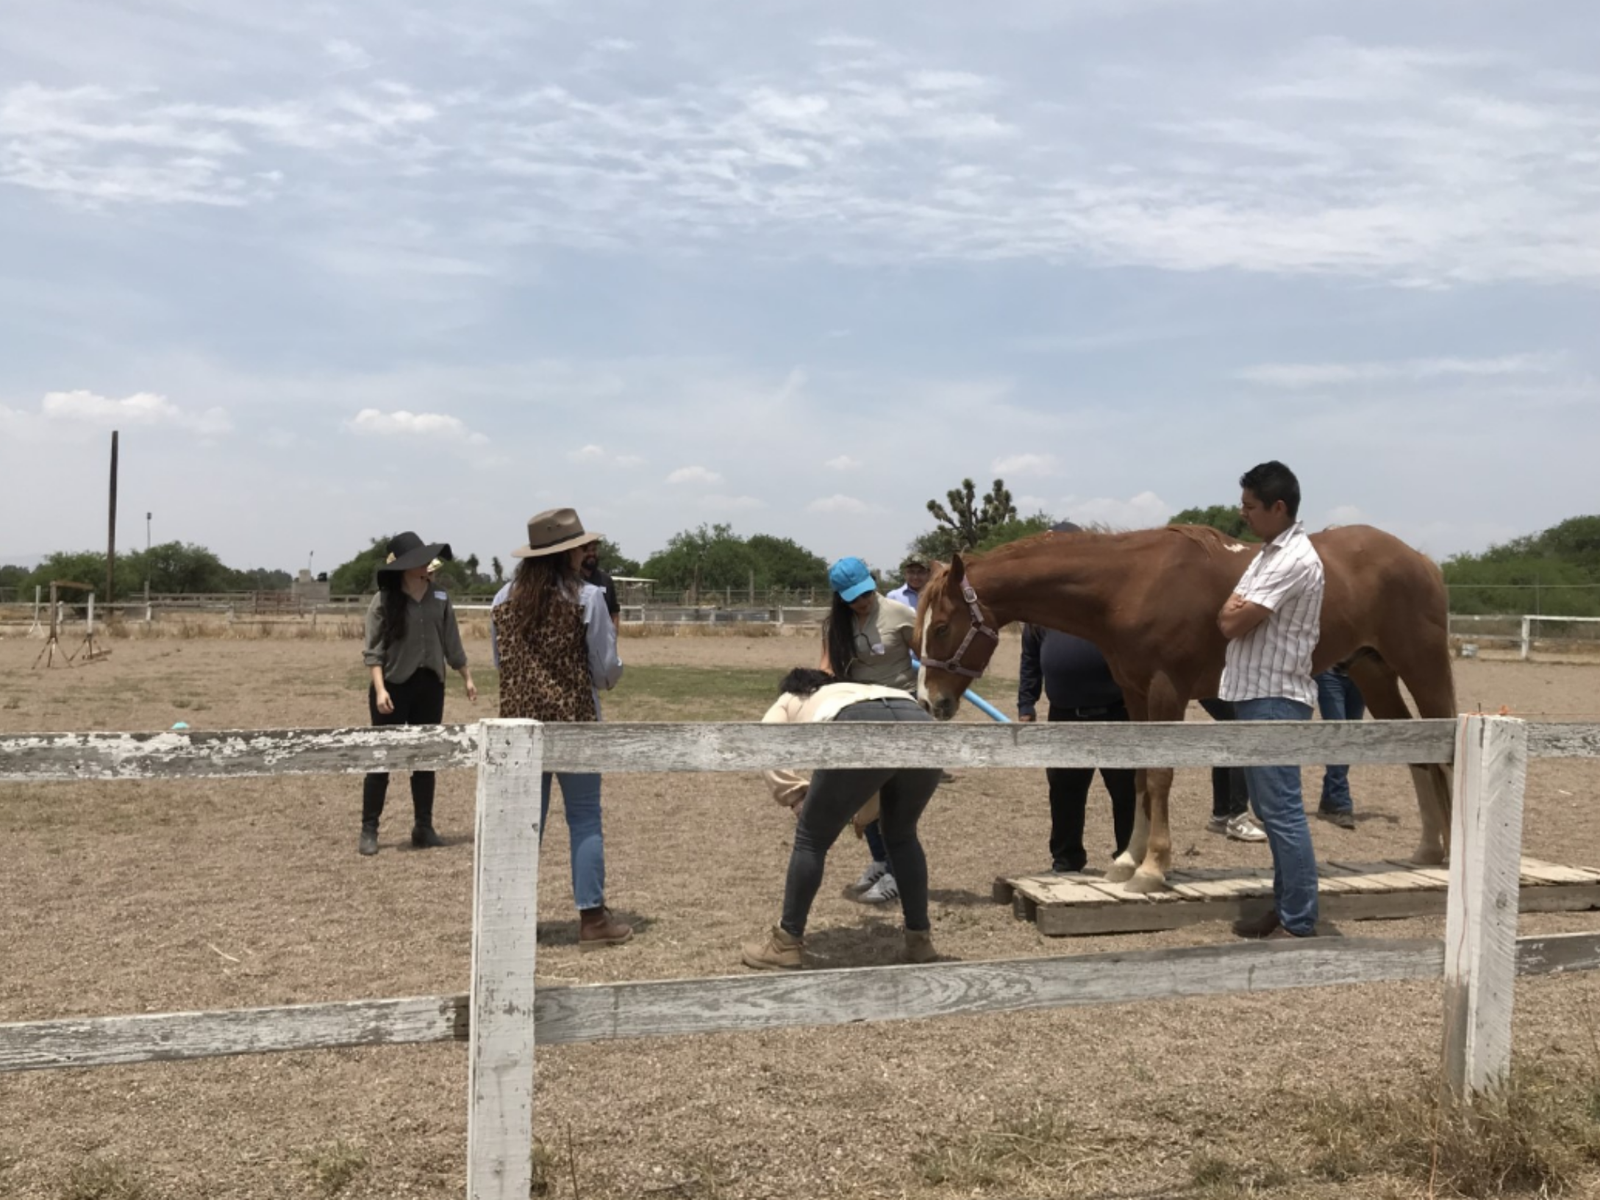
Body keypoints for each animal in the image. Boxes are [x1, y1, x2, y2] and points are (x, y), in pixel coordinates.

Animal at [914, 524, 1457, 894]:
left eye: (941, 626)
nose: (930, 701)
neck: (1128, 586)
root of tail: (1422, 560)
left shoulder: (1165, 691)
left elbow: (1159, 778)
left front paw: (1153, 868)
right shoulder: (1134, 694)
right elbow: (1137, 778)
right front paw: (1126, 861)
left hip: (1423, 665)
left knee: (1448, 751)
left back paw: (1451, 853)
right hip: (1373, 671)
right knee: (1420, 755)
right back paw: (1428, 849)